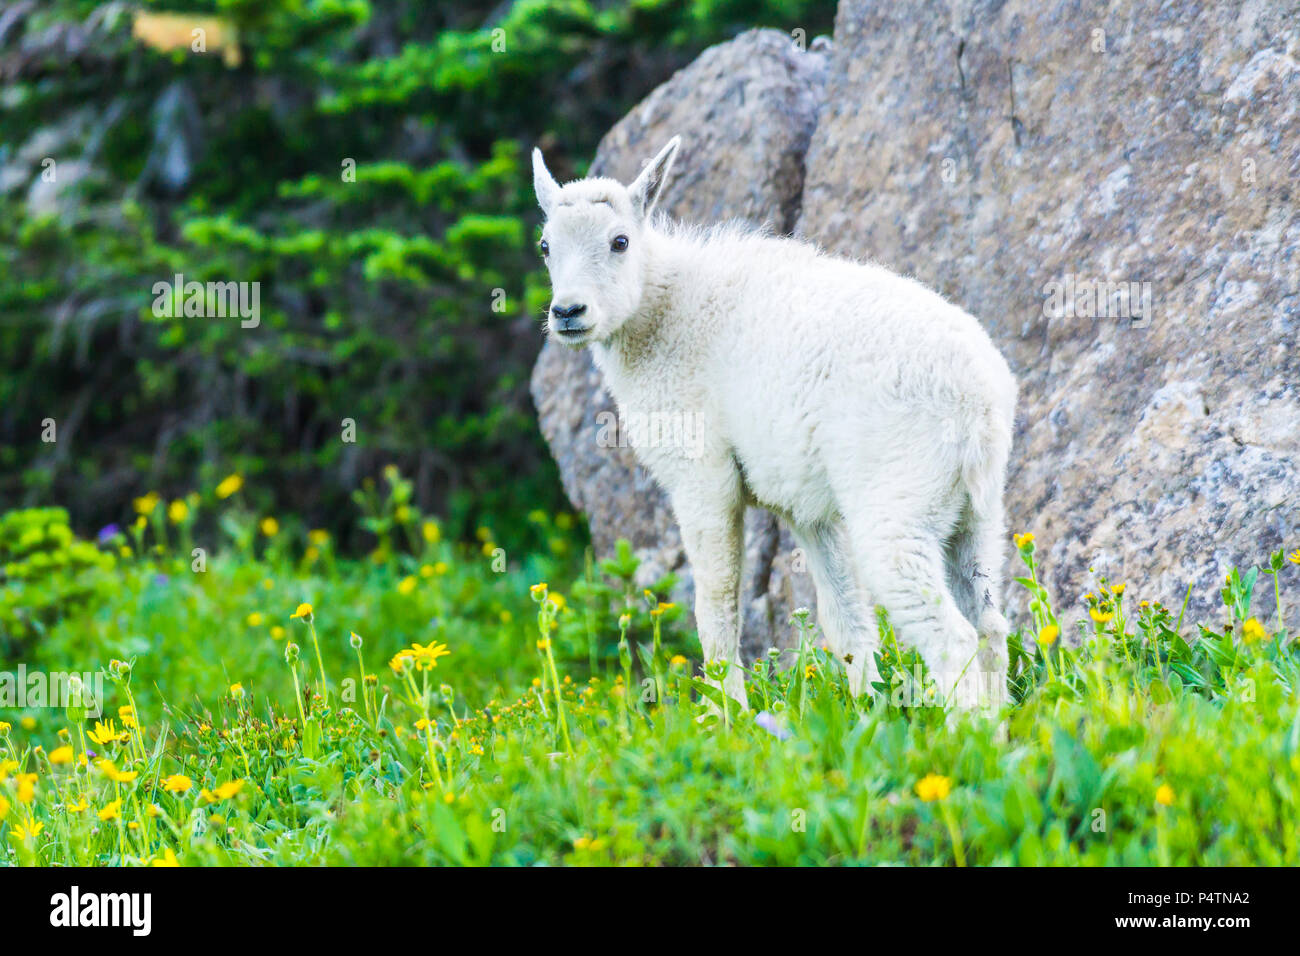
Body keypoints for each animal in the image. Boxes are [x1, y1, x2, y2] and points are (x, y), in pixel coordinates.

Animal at [533, 140, 1019, 712]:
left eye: (620, 241)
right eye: (545, 246)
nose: (568, 312)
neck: (662, 316)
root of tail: (980, 406)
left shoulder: (702, 477)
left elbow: (717, 606)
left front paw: (728, 716)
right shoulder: (806, 506)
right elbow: (845, 619)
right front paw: (866, 708)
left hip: (896, 505)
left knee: (950, 635)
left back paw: (966, 730)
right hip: (976, 515)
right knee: (988, 625)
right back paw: (999, 723)